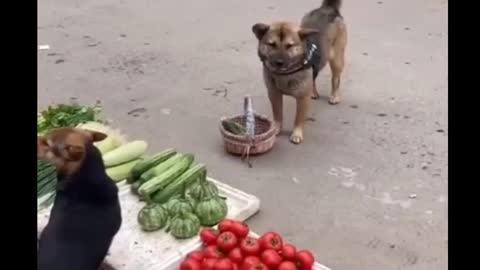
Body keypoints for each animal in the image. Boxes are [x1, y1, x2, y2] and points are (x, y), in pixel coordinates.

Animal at [251, 0, 348, 143]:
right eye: (272, 44)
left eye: (289, 46)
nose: (279, 62)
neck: (285, 73)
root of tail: (327, 9)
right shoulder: (274, 94)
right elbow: (277, 113)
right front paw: (276, 128)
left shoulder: (302, 99)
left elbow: (299, 118)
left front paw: (297, 133)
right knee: (313, 78)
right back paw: (313, 92)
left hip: (336, 59)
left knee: (335, 78)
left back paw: (335, 95)